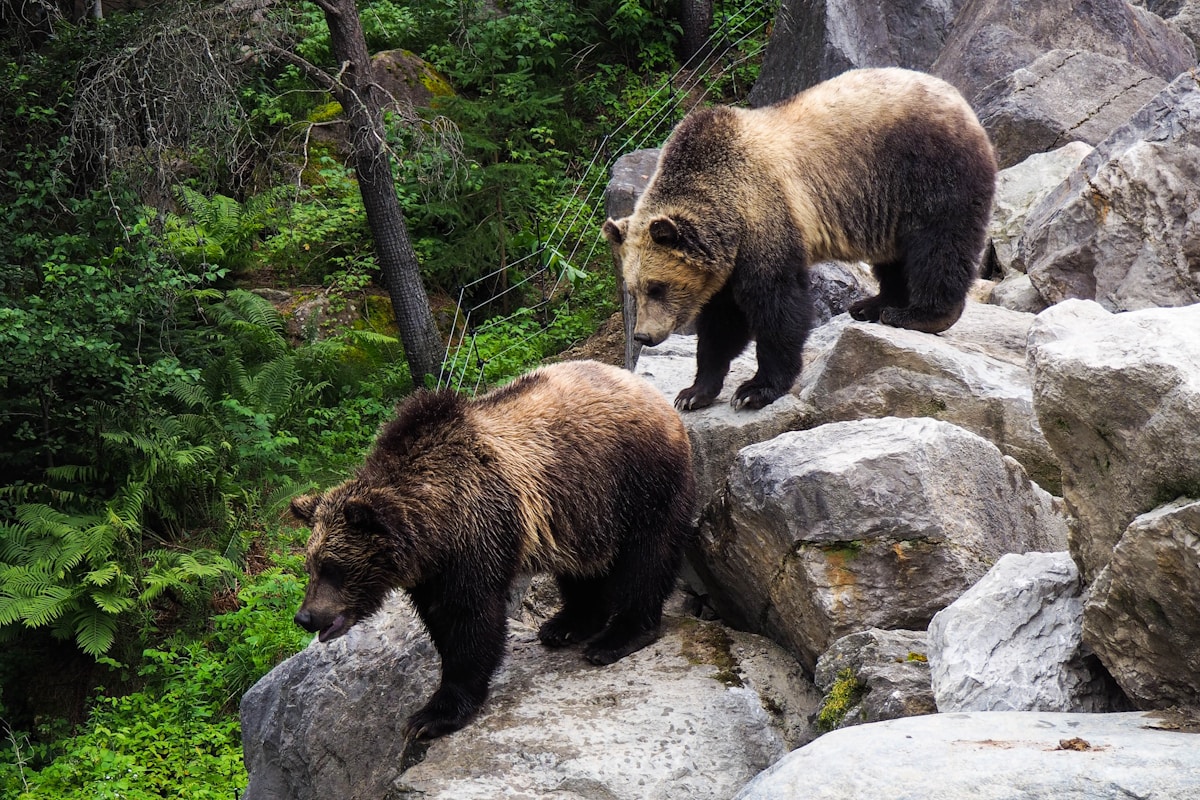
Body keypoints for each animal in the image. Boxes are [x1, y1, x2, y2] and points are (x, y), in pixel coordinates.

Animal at [288, 359, 696, 743]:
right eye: (310, 566)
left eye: (333, 567)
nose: (305, 617)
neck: (434, 526)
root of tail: (650, 391)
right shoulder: (433, 571)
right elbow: (441, 622)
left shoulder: (477, 534)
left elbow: (471, 622)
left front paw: (432, 716)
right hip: (581, 510)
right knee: (582, 568)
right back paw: (566, 624)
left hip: (638, 481)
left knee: (647, 558)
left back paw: (616, 638)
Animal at [604, 67, 998, 412]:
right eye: (633, 289)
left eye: (657, 287)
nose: (643, 336)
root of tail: (959, 99)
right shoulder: (726, 262)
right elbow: (721, 323)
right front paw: (693, 392)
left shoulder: (765, 217)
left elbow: (778, 305)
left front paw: (755, 389)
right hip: (887, 203)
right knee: (895, 256)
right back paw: (872, 305)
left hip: (926, 170)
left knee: (939, 244)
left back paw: (920, 314)